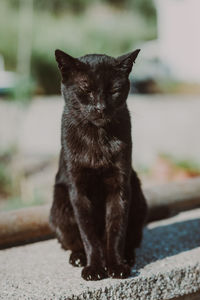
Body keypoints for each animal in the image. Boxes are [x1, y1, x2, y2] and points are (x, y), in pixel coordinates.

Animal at [49, 48, 148, 280]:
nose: (101, 107)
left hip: (137, 196)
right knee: (71, 241)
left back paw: (127, 257)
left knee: (131, 238)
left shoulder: (120, 186)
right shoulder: (78, 190)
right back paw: (78, 257)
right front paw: (94, 268)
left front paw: (116, 266)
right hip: (60, 204)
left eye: (114, 90)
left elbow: (116, 231)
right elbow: (88, 234)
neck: (97, 138)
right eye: (85, 88)